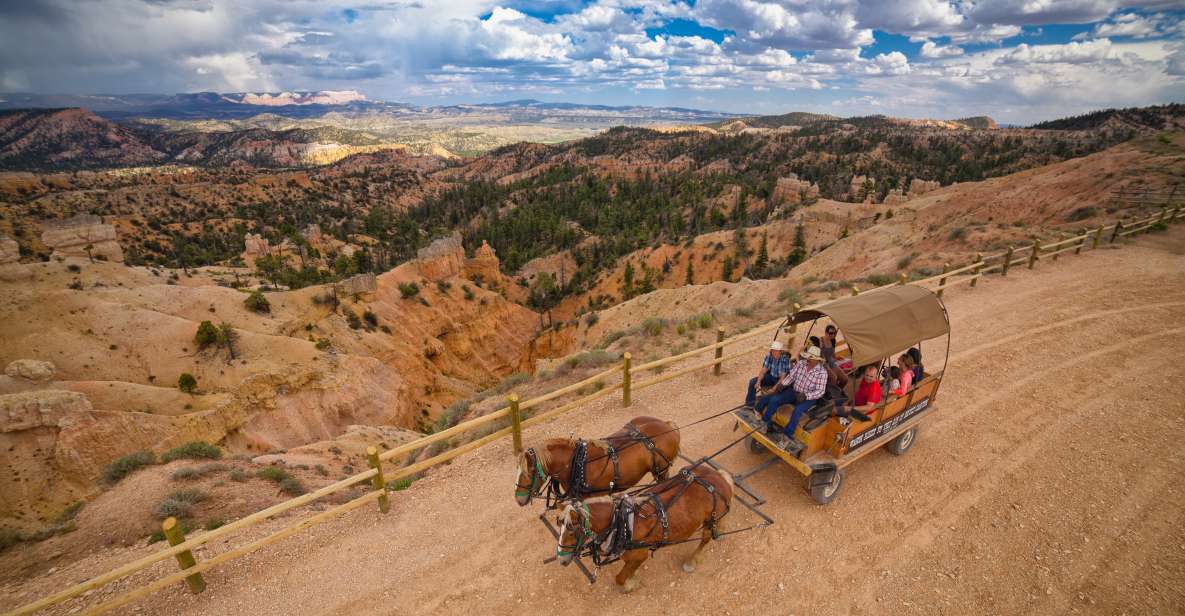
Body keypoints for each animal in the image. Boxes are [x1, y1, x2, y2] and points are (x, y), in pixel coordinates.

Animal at [554, 466, 729, 592]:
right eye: (559, 526)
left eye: (571, 530)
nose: (561, 560)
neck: (622, 523)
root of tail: (719, 476)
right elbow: (626, 571)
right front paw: (632, 577)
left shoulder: (640, 555)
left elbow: (620, 578)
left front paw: (629, 585)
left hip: (710, 519)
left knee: (705, 539)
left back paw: (692, 560)